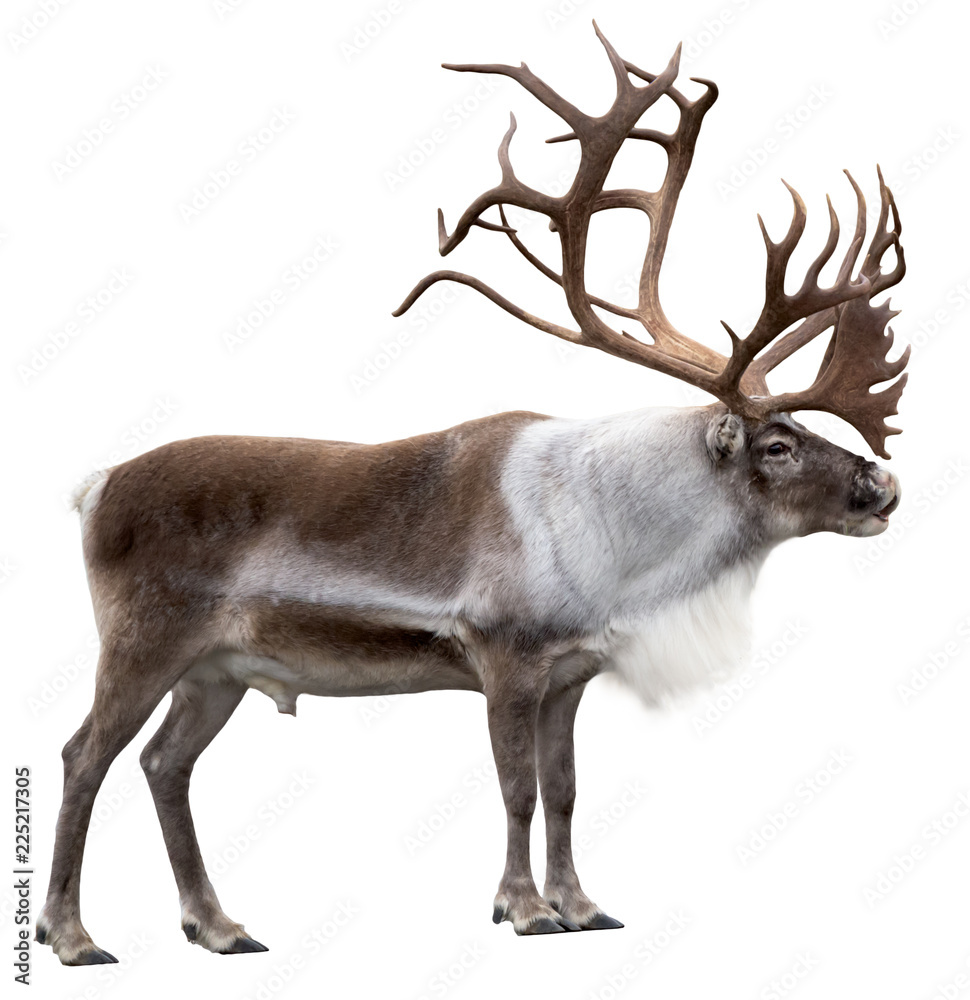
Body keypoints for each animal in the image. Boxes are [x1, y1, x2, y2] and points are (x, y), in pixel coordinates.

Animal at [37, 23, 907, 965]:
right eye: (778, 444)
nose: (883, 485)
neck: (618, 542)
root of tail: (96, 487)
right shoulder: (504, 654)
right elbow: (516, 789)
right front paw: (524, 909)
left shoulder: (571, 673)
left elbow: (564, 790)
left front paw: (584, 905)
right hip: (143, 640)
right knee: (84, 755)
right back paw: (72, 935)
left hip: (218, 669)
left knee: (164, 764)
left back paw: (219, 926)